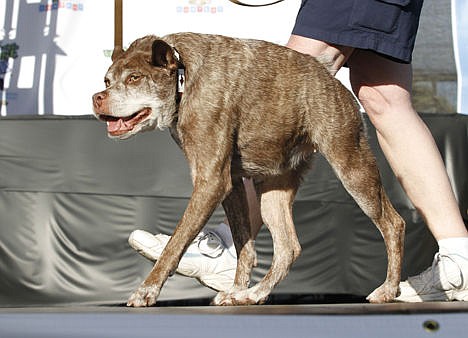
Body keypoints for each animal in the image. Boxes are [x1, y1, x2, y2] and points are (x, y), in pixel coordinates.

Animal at [92, 33, 406, 308]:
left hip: (352, 168)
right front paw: (237, 290)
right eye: (107, 80)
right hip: (273, 190)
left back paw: (388, 290)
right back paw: (255, 294)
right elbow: (244, 245)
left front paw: (146, 291)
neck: (183, 75)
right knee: (288, 248)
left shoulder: (211, 183)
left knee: (393, 224)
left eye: (134, 78)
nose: (97, 97)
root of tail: (329, 77)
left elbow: (176, 244)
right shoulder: (230, 183)